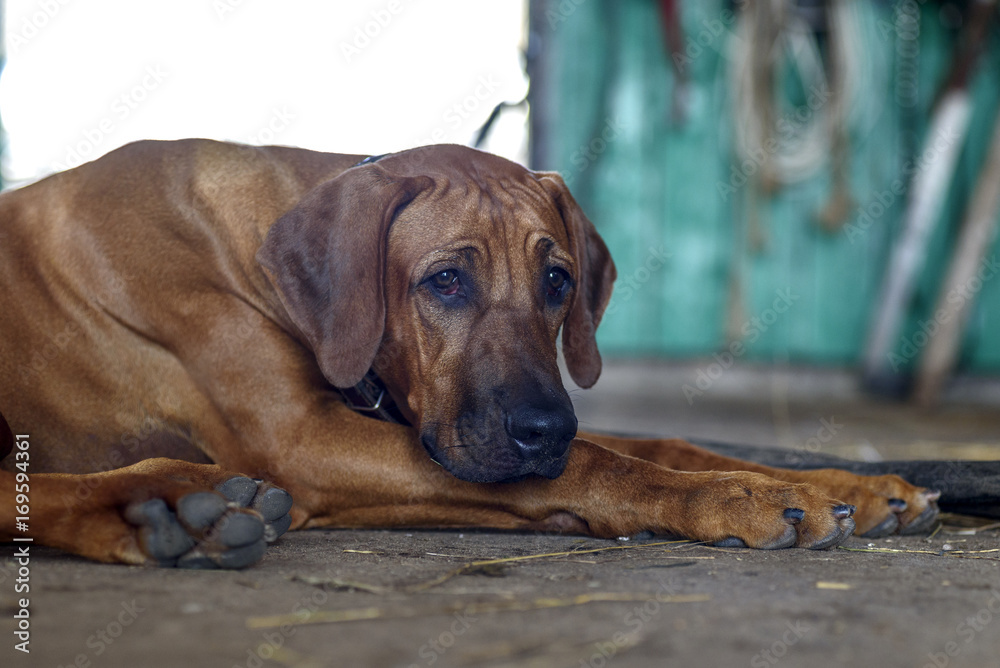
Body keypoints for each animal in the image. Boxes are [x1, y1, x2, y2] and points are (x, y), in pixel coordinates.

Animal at [0, 141, 936, 568]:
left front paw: (839, 484)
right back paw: (157, 505)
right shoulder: (302, 442)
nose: (543, 427)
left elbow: (663, 442)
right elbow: (599, 462)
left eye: (558, 280)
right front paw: (738, 498)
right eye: (445, 281)